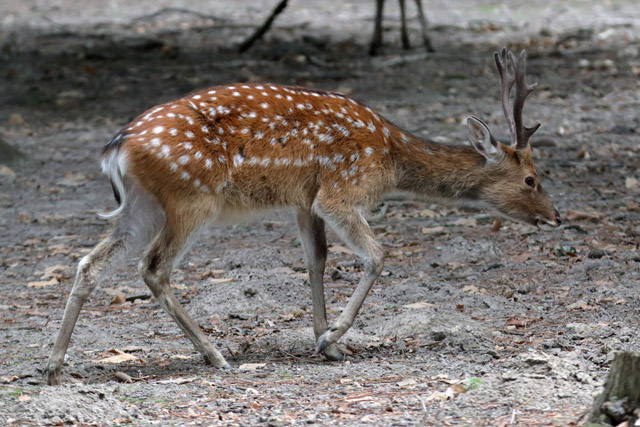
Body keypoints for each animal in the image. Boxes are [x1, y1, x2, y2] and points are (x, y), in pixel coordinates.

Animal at [46, 48, 560, 385]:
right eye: (531, 179)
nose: (556, 217)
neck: (390, 157)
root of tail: (117, 148)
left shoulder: (303, 199)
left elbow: (316, 260)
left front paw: (326, 341)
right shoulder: (340, 189)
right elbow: (377, 255)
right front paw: (332, 335)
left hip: (143, 204)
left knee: (90, 262)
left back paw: (53, 365)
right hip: (193, 198)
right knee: (153, 267)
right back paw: (216, 356)